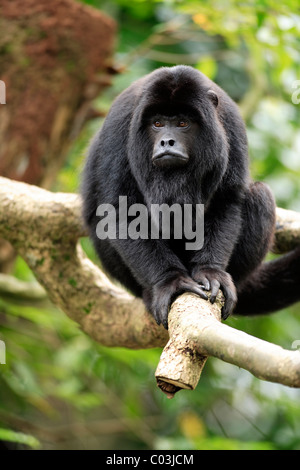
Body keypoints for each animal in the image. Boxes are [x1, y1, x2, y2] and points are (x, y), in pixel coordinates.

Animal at [81, 66, 300, 328]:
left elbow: (227, 199)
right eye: (157, 123)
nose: (167, 141)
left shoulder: (230, 121)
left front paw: (210, 272)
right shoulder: (119, 123)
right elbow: (122, 210)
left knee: (260, 196)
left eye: (182, 123)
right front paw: (170, 282)